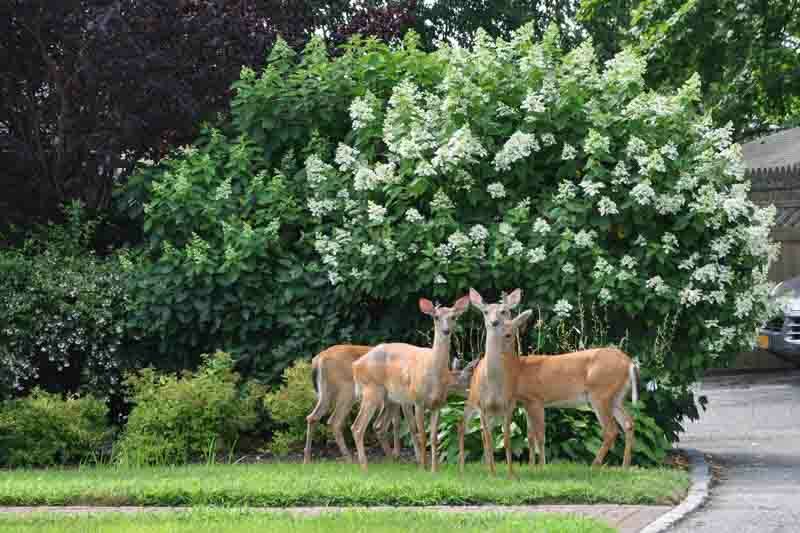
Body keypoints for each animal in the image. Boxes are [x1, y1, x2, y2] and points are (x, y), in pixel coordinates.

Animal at [304, 342, 472, 464]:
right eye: (468, 382)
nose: (472, 397)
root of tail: (318, 359)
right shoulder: (406, 399)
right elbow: (410, 425)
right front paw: (416, 457)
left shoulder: (393, 401)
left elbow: (395, 423)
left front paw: (397, 454)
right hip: (347, 391)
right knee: (335, 420)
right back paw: (350, 458)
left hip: (326, 393)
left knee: (313, 417)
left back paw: (308, 458)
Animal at [350, 294, 468, 472]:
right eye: (436, 317)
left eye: (454, 317)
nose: (446, 331)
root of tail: (356, 365)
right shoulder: (417, 400)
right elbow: (421, 434)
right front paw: (423, 467)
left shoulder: (438, 404)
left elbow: (434, 438)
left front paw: (434, 469)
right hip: (371, 391)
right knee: (357, 427)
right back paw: (365, 466)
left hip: (388, 398)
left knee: (377, 426)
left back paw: (393, 460)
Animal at [462, 288, 636, 472]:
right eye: (485, 311)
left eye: (504, 312)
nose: (494, 323)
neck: (518, 370)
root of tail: (629, 363)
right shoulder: (525, 402)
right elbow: (530, 436)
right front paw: (532, 466)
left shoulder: (536, 399)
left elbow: (540, 436)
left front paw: (542, 467)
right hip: (616, 397)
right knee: (628, 423)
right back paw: (625, 467)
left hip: (600, 394)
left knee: (611, 430)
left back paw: (594, 466)